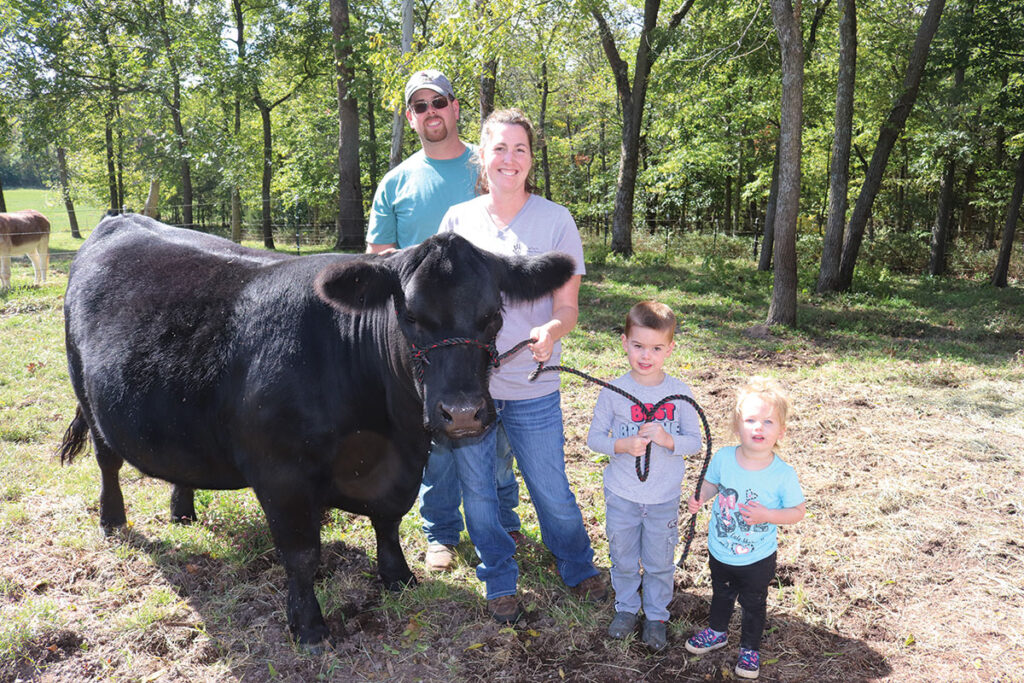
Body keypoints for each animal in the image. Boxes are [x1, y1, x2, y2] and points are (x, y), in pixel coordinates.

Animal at [61, 214, 577, 647]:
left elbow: (389, 520)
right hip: (88, 397)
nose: (463, 413)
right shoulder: (281, 473)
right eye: (410, 316)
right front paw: (308, 625)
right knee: (107, 462)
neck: (387, 429)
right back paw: (113, 521)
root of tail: (121, 218)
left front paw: (398, 577)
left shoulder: (404, 463)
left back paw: (182, 511)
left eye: (494, 316)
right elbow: (302, 553)